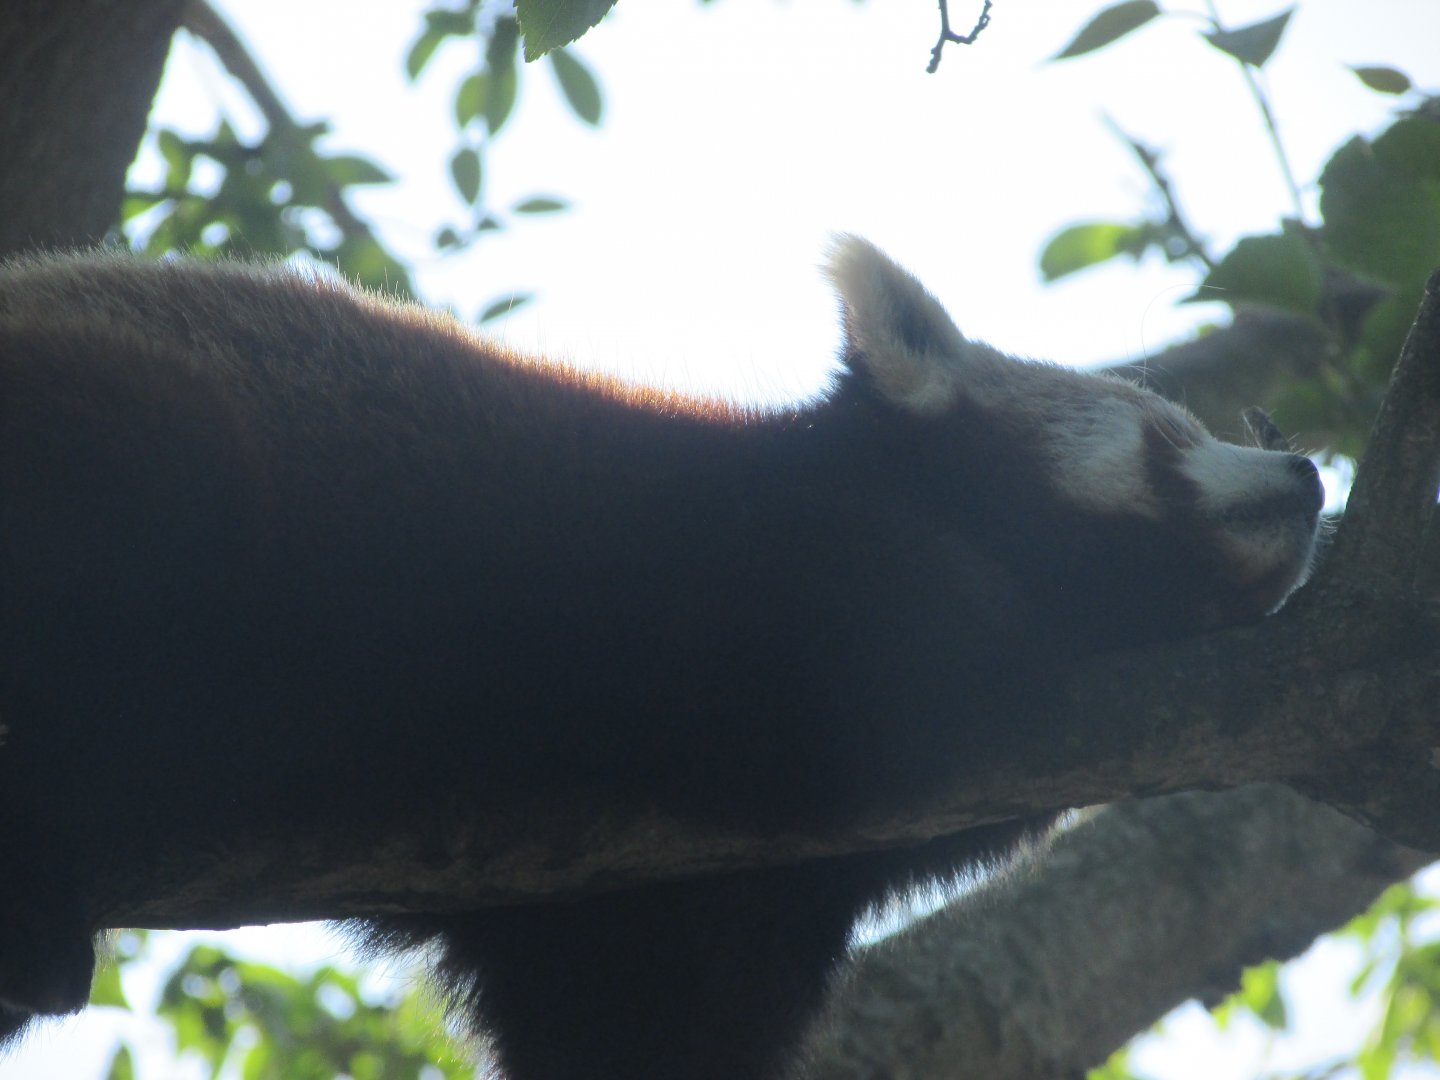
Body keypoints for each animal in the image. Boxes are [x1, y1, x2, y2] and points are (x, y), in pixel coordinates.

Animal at [0, 237, 1323, 1079]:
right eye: (1164, 438)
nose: (1308, 471)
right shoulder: (727, 579)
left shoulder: (671, 910)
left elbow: (644, 1029)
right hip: (145, 450)